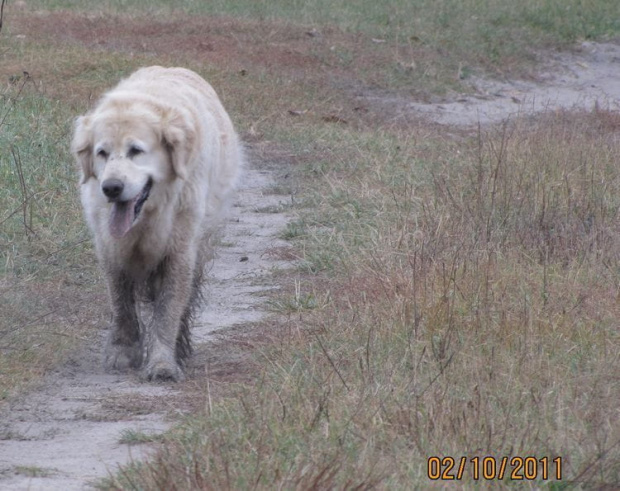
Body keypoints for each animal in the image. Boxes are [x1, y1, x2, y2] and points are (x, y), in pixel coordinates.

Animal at [72, 66, 242, 380]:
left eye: (136, 150)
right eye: (102, 153)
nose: (111, 188)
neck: (147, 218)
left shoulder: (179, 251)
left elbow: (168, 312)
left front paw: (162, 363)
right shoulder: (110, 249)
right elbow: (121, 304)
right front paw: (122, 353)